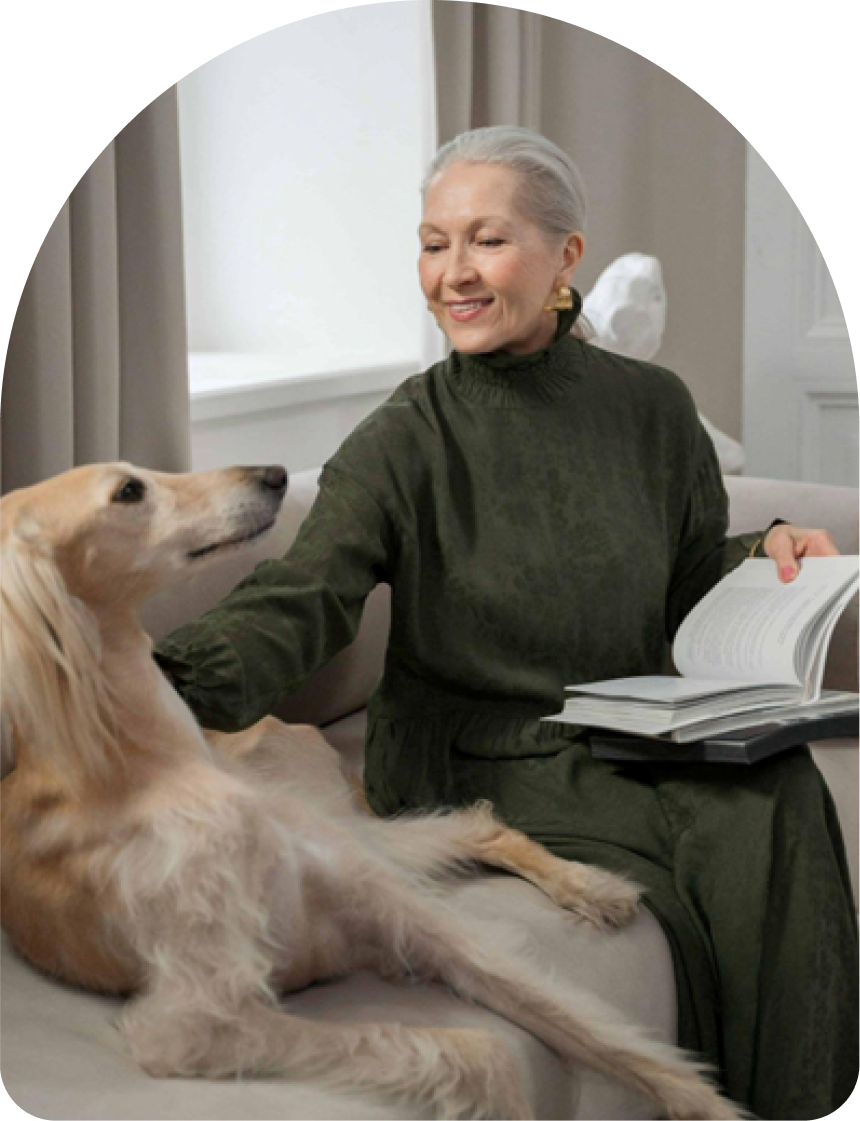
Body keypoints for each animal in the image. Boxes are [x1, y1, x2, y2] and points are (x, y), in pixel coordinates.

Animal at [0, 462, 748, 1121]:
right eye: (128, 491)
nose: (273, 474)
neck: (155, 758)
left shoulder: (395, 908)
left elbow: (582, 1021)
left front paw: (707, 1104)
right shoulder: (194, 1022)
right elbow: (481, 1054)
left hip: (340, 826)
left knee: (472, 824)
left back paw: (591, 886)